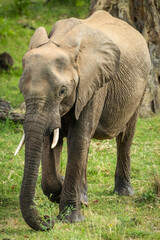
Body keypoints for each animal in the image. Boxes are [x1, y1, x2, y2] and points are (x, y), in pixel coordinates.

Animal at [16, 10, 151, 231]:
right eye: (21, 90)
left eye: (63, 91)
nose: (47, 220)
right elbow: (51, 140)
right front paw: (63, 192)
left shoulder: (94, 85)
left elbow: (78, 137)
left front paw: (71, 218)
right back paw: (85, 197)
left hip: (142, 84)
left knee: (125, 136)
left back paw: (123, 193)